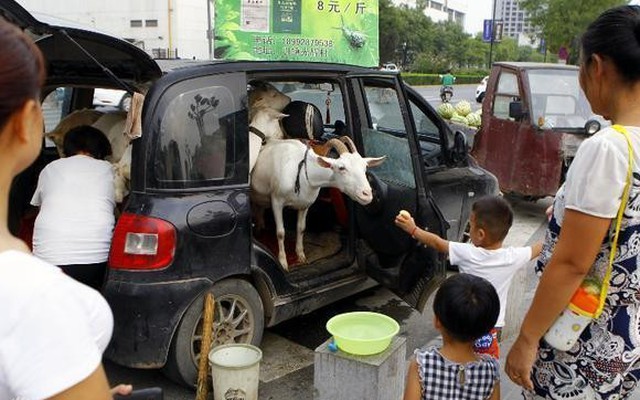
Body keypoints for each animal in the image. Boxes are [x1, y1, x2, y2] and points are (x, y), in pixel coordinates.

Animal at [250, 136, 382, 270]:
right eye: (341, 167)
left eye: (365, 167)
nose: (367, 194)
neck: (301, 172)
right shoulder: (277, 201)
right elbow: (281, 232)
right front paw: (283, 262)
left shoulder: (304, 205)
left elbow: (301, 228)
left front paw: (301, 256)